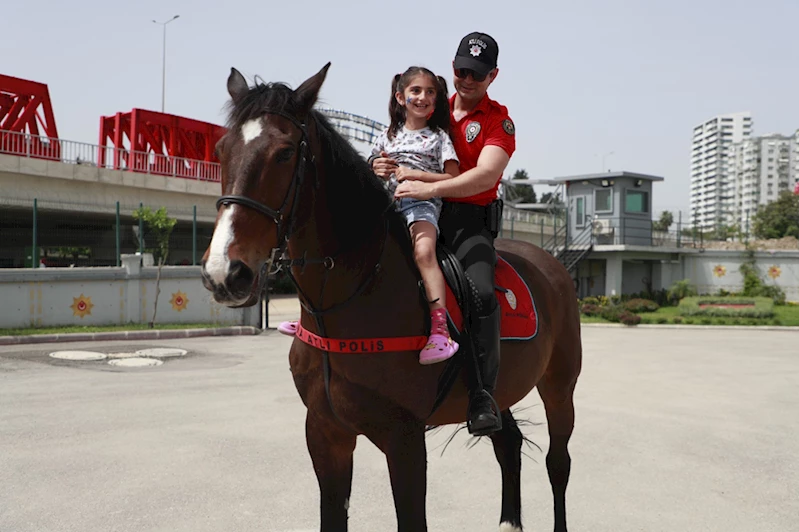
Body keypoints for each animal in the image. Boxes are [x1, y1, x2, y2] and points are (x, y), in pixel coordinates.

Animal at [201, 63, 582, 532]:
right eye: (221, 150)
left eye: (285, 153)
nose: (225, 272)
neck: (347, 302)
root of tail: (551, 264)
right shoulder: (325, 435)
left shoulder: (404, 439)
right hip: (503, 392)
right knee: (507, 445)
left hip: (560, 386)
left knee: (558, 464)